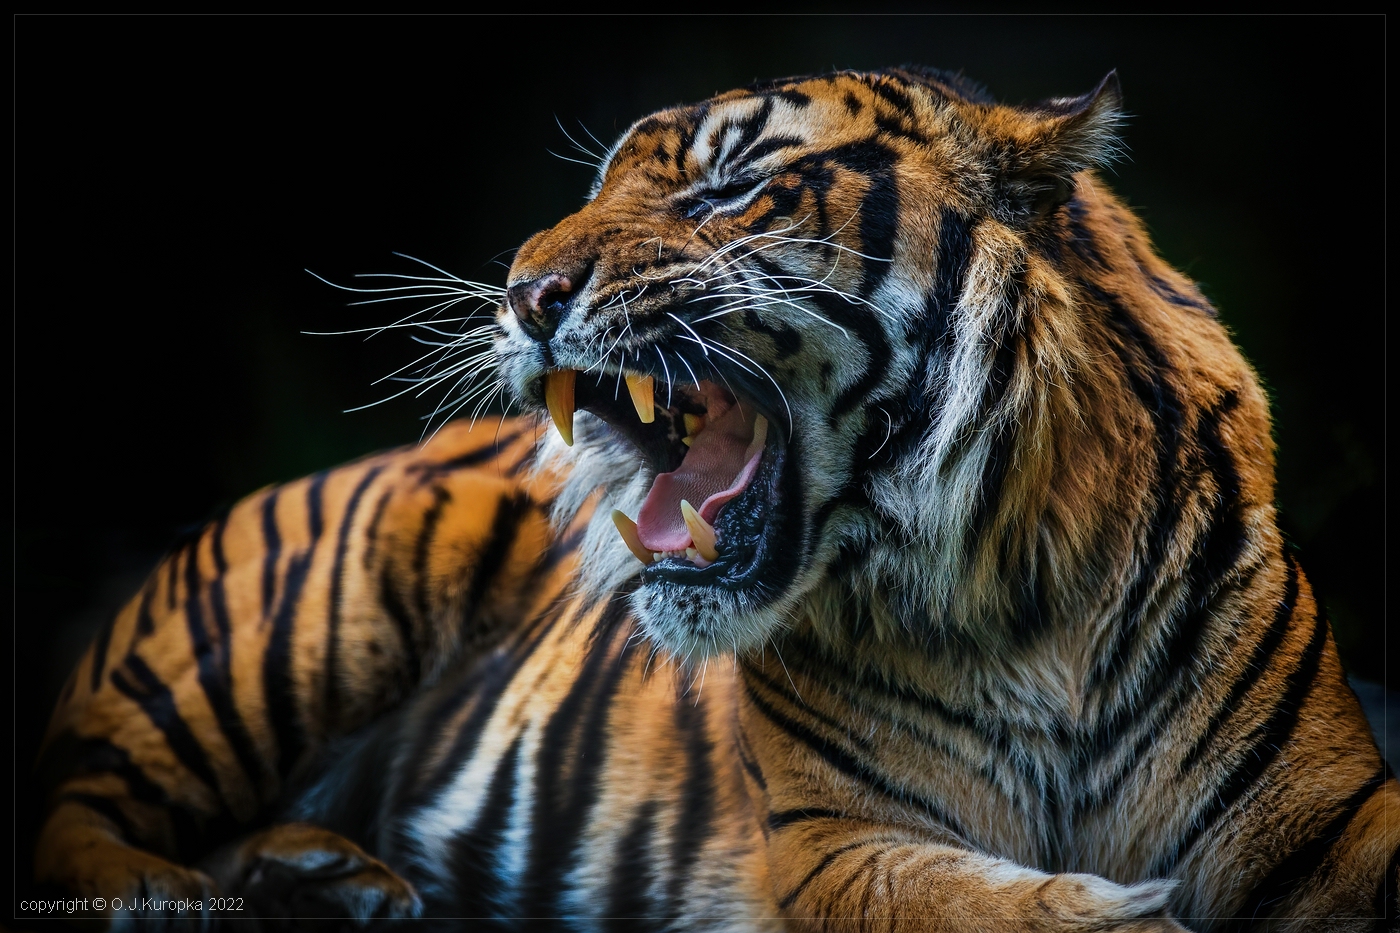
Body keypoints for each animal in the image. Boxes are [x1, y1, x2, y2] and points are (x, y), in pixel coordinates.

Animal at [33, 66, 1398, 931]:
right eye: (597, 189)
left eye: (727, 188)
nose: (521, 294)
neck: (1027, 596)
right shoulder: (832, 847)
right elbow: (1004, 910)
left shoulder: (1330, 816)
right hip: (280, 634)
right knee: (68, 806)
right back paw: (179, 898)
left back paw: (323, 880)